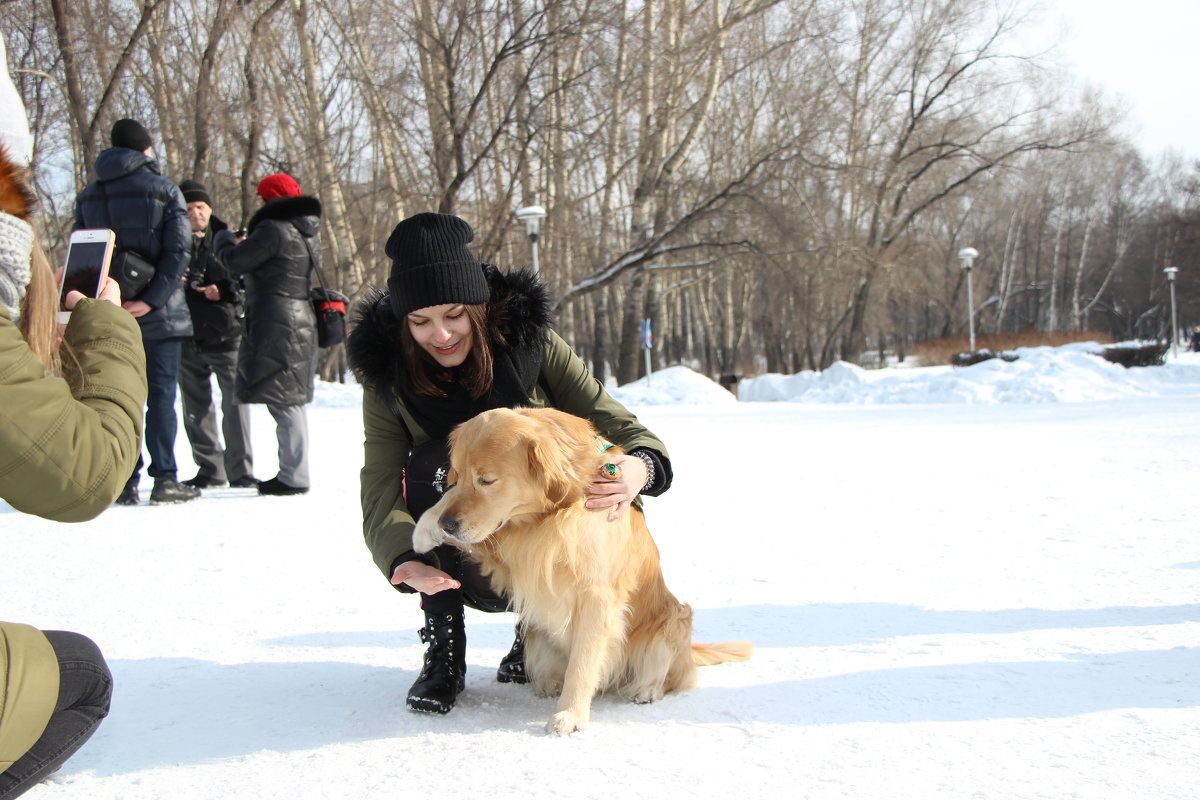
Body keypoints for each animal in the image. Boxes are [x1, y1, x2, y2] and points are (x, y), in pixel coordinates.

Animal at [412, 410, 748, 734]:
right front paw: (425, 529)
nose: (448, 524)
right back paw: (547, 682)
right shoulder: (514, 556)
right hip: (537, 635)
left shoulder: (596, 597)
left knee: (668, 675)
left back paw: (646, 689)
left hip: (673, 622)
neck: (552, 512)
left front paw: (570, 715)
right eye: (457, 475)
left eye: (487, 481)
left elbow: (583, 663)